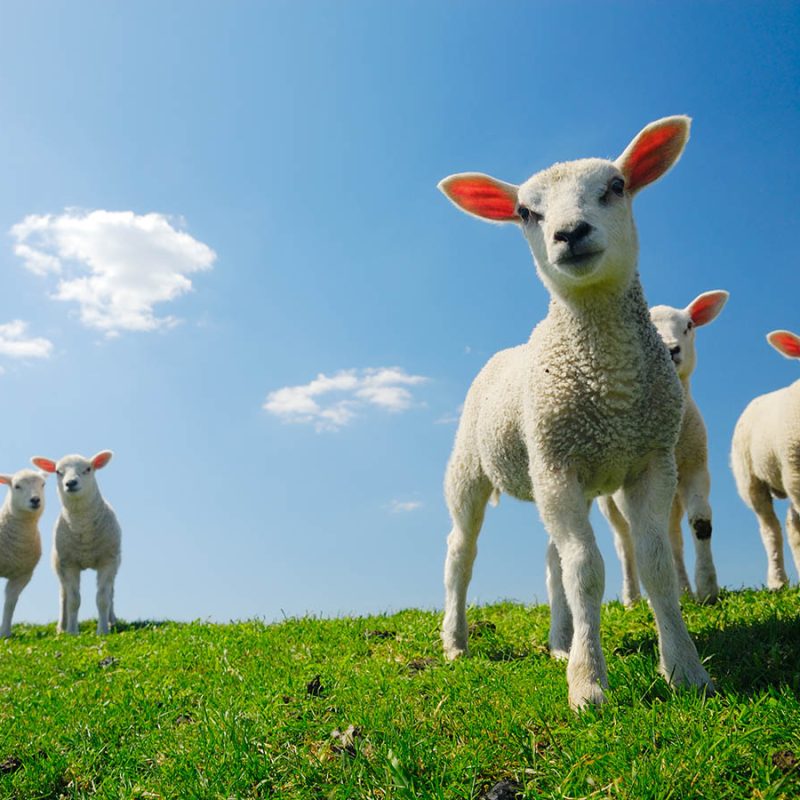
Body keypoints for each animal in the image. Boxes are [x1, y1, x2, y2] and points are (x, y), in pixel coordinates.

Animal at [0, 468, 46, 636]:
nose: (35, 500)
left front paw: (5, 633)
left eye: (43, 484)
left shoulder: (23, 575)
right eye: (17, 486)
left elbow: (10, 602)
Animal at [31, 454, 121, 636]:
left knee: (111, 593)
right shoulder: (69, 564)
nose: (71, 483)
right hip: (59, 565)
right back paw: (61, 628)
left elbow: (103, 598)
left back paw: (112, 621)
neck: (83, 528)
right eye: (58, 471)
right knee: (63, 595)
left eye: (88, 469)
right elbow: (73, 600)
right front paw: (72, 632)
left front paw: (103, 631)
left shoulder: (107, 561)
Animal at [438, 114, 712, 708]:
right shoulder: (559, 465)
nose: (570, 233)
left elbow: (654, 563)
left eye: (616, 186)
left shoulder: (650, 460)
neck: (611, 385)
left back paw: (560, 641)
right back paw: (455, 641)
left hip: (563, 474)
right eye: (525, 212)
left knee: (552, 559)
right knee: (461, 553)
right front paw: (588, 685)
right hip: (477, 468)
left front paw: (684, 668)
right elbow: (586, 570)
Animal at [596, 290, 728, 604]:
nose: (671, 350)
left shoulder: (696, 467)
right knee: (624, 542)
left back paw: (683, 589)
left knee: (672, 536)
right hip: (608, 501)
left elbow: (701, 523)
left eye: (689, 326)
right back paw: (631, 598)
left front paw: (707, 589)